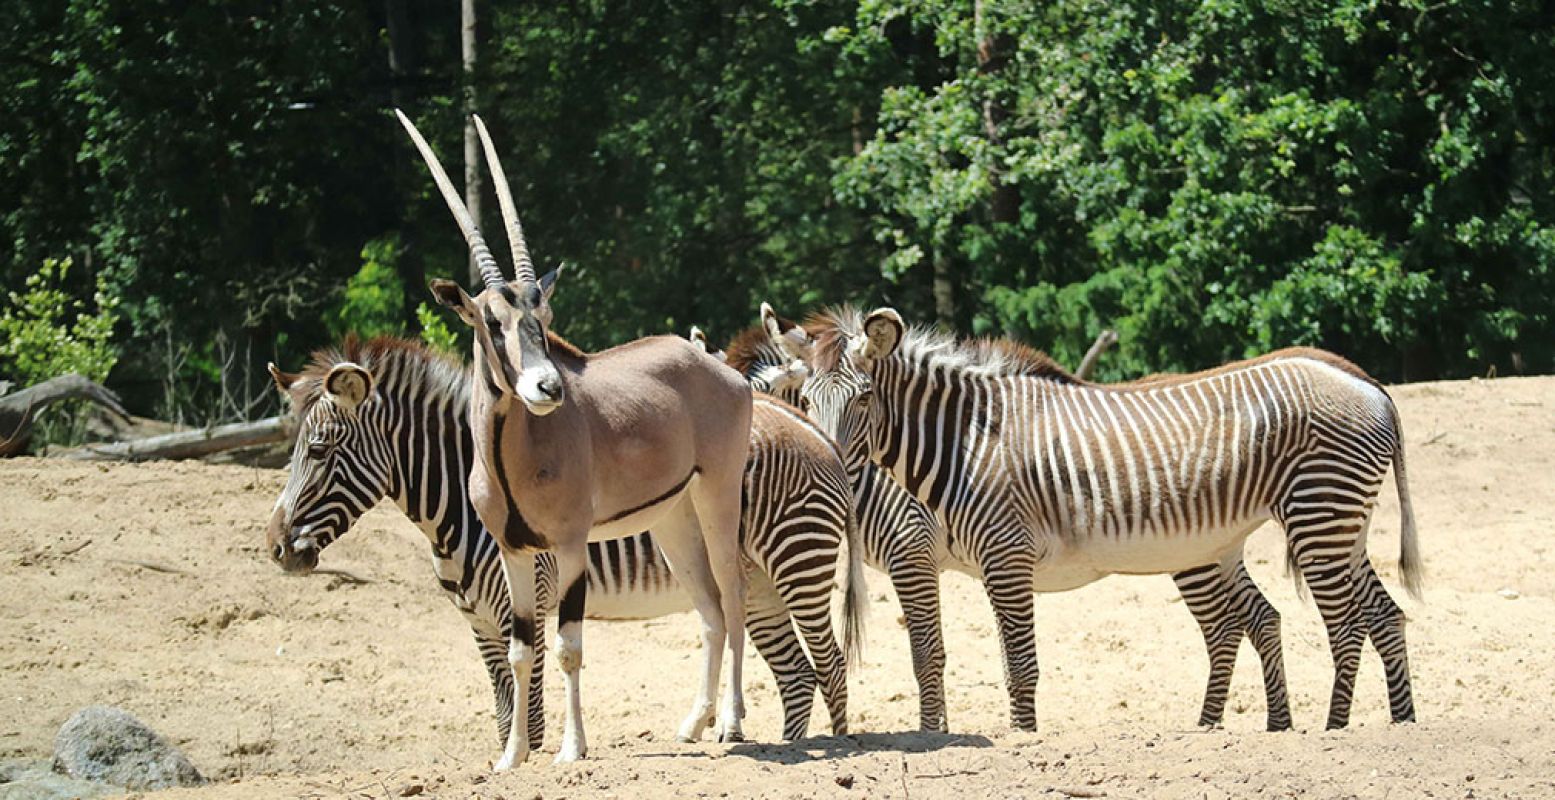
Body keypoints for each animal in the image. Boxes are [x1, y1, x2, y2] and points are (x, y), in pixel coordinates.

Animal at [261, 333, 858, 743]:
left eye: (318, 450)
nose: (276, 548)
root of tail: (811, 429)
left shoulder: (523, 601)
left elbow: (531, 707)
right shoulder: (479, 624)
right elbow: (504, 709)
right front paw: (508, 757)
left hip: (798, 562)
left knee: (828, 663)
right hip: (760, 586)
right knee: (796, 674)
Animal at [789, 305, 1424, 728]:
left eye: (864, 398)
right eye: (807, 401)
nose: (833, 472)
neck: (967, 441)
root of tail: (1367, 383)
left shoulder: (999, 554)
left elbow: (1015, 662)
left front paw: (1022, 738)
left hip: (1319, 515)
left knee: (1345, 627)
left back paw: (1333, 731)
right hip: (1340, 523)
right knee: (1383, 615)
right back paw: (1399, 722)